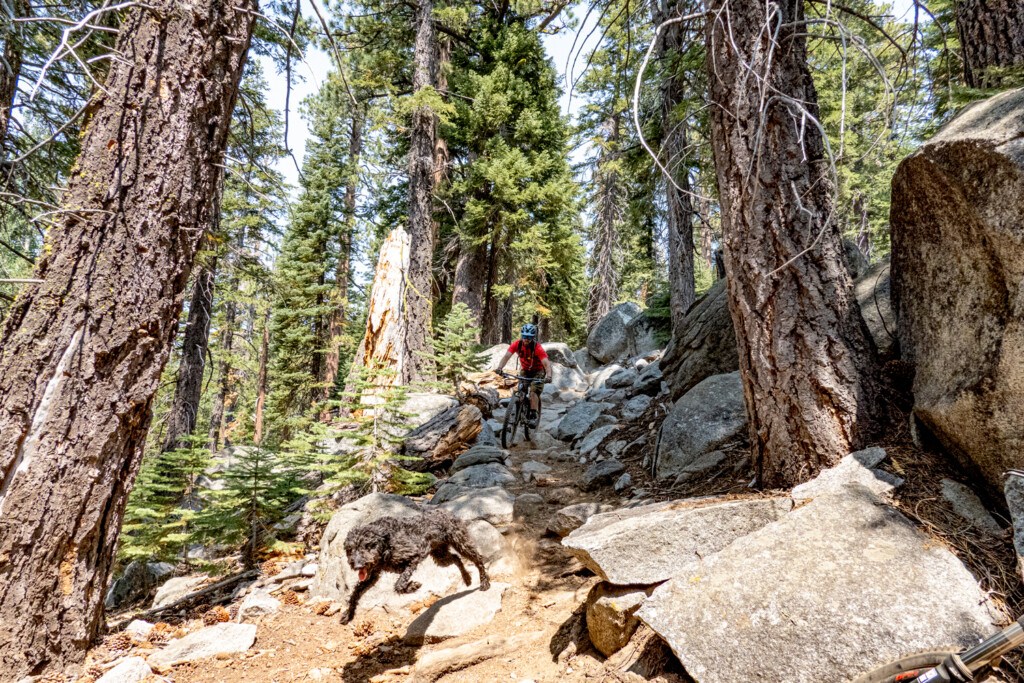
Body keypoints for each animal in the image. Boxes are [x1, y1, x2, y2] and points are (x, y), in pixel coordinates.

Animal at [339, 507, 491, 626]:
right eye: (350, 550)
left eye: (367, 546)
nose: (357, 565)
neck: (386, 542)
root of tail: (446, 511)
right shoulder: (372, 575)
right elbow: (356, 592)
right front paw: (348, 614)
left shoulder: (414, 556)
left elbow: (399, 584)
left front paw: (412, 586)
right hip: (440, 556)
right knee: (456, 558)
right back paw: (467, 578)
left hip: (460, 542)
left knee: (478, 559)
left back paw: (484, 582)